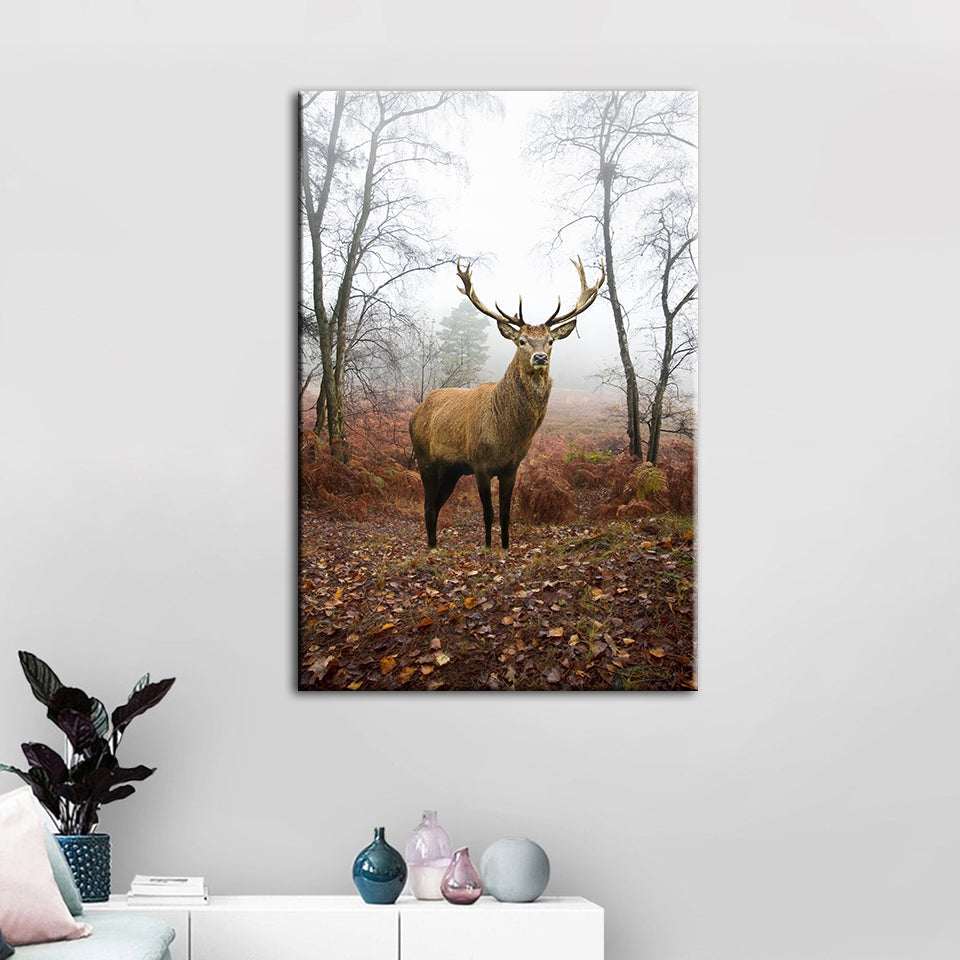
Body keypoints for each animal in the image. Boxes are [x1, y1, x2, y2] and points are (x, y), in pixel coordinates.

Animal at [409, 257, 605, 549]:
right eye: (521, 340)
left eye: (550, 341)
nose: (539, 357)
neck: (506, 435)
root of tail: (415, 412)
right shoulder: (479, 464)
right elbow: (488, 513)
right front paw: (488, 547)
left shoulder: (511, 467)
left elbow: (505, 514)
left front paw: (504, 546)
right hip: (425, 459)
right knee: (428, 506)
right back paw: (432, 548)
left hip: (452, 470)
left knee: (435, 505)